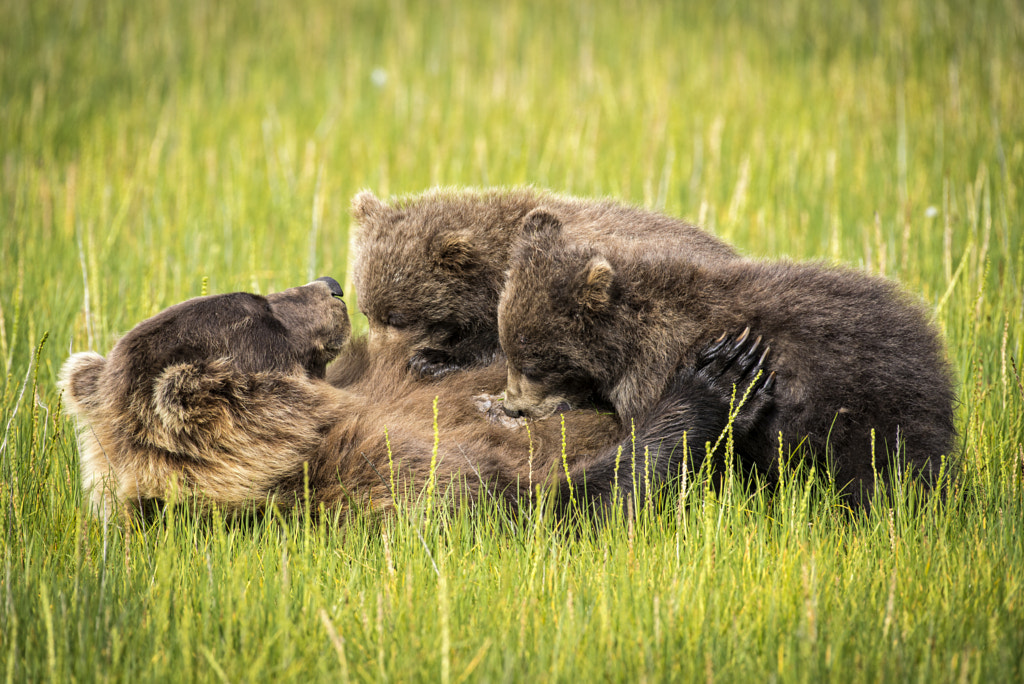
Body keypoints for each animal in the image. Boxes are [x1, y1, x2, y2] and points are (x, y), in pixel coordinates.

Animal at [497, 209, 958, 501]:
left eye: (535, 362)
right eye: (508, 347)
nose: (512, 405)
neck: (623, 346)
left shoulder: (655, 370)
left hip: (860, 411)